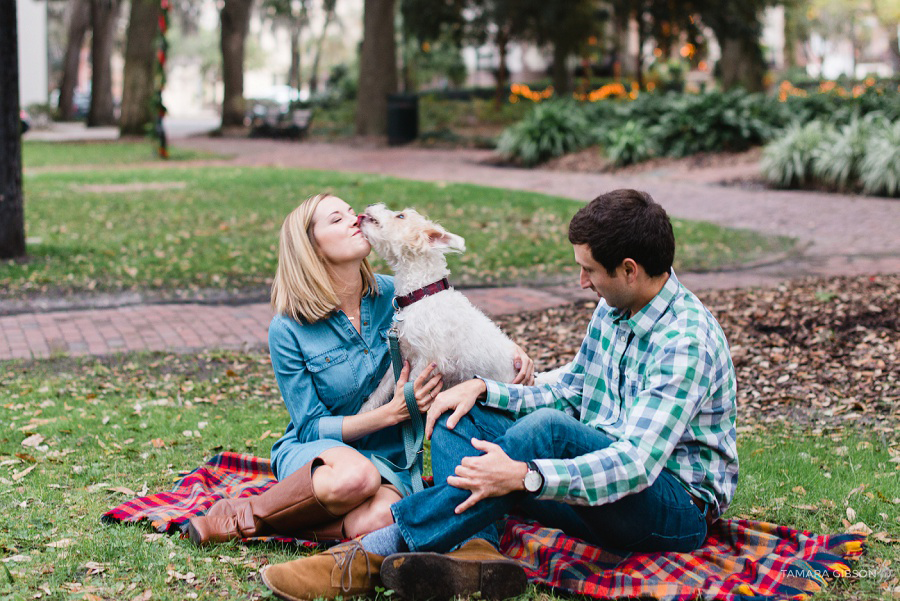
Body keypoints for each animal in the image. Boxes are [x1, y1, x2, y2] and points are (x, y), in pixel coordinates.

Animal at [356, 203, 516, 412]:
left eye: (401, 216)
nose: (369, 206)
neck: (420, 294)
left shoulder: (428, 361)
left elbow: (406, 390)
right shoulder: (401, 355)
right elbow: (380, 391)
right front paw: (366, 412)